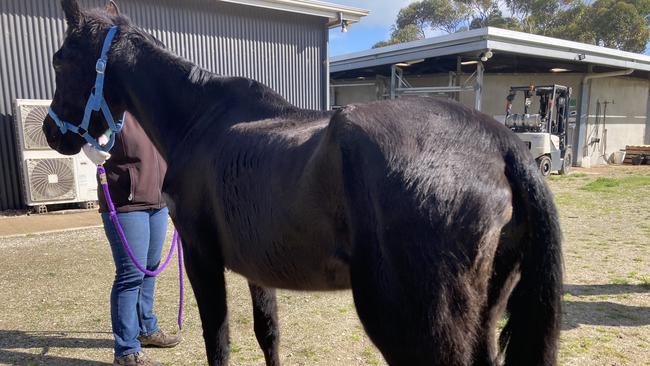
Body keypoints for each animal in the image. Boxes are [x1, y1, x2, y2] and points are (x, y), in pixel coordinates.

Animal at [43, 1, 560, 364]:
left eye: (60, 58)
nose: (50, 132)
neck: (202, 119)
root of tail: (501, 144)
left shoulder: (202, 257)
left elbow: (219, 340)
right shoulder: (257, 266)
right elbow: (267, 333)